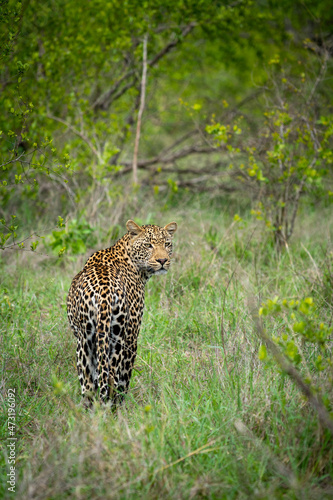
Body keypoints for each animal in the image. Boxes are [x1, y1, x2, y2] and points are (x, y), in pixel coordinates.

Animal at [66, 219, 178, 406]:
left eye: (167, 244)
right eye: (148, 245)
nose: (163, 260)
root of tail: (103, 294)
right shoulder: (132, 338)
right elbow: (125, 379)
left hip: (85, 341)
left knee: (89, 386)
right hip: (117, 341)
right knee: (112, 380)